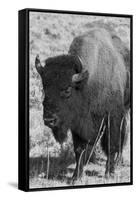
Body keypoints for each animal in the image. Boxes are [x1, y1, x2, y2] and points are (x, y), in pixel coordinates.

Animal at [34, 27, 130, 180]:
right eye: (44, 88)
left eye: (67, 89)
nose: (49, 120)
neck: (87, 82)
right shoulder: (77, 121)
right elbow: (79, 148)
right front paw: (76, 177)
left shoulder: (113, 116)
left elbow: (111, 143)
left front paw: (109, 173)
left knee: (123, 133)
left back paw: (118, 162)